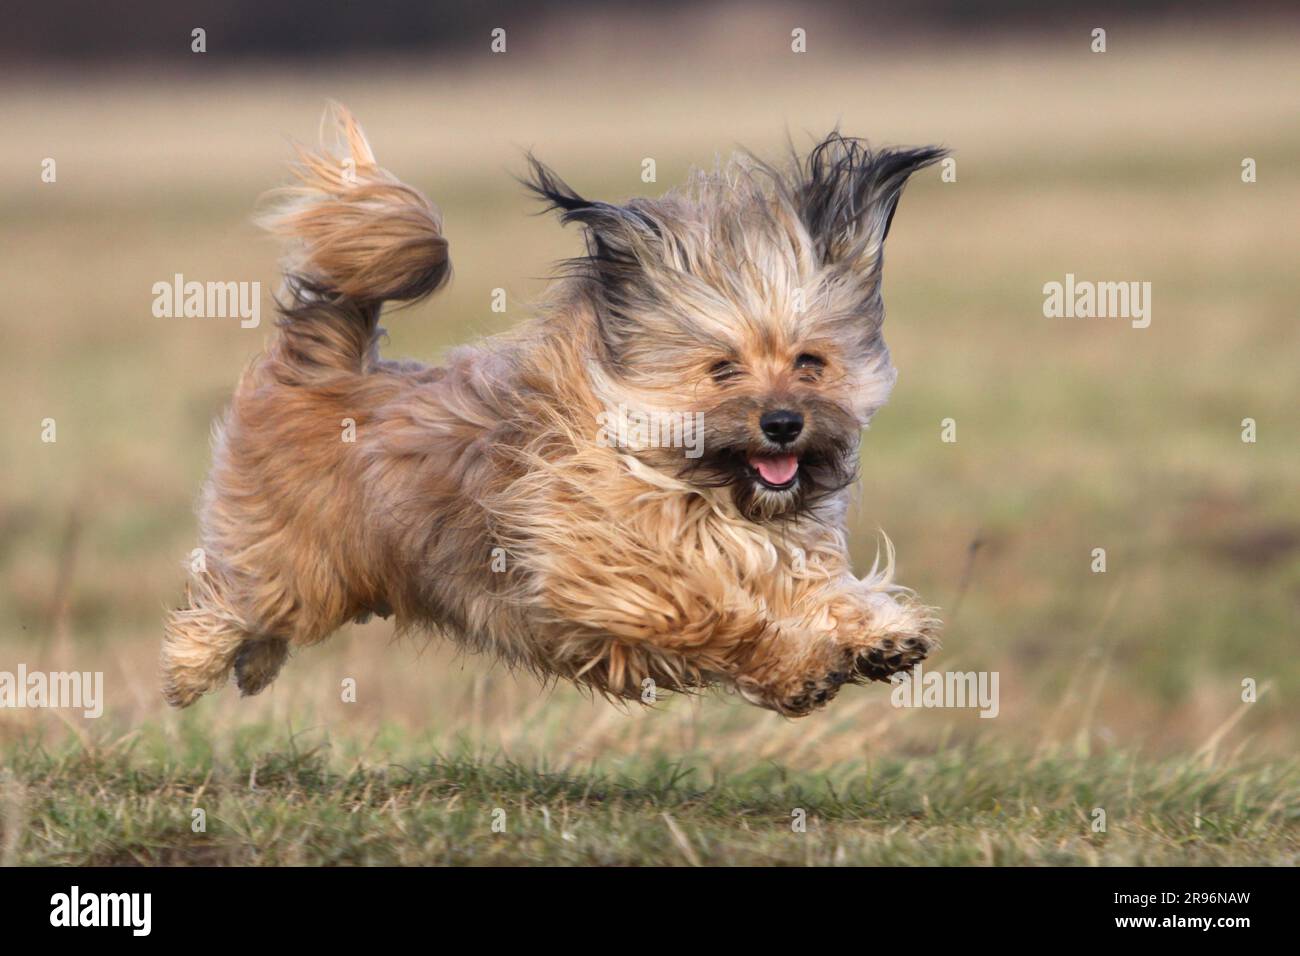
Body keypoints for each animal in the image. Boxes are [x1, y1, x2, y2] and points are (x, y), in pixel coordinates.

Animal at [162, 106, 946, 717]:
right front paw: (801, 668)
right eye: (723, 369)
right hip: (297, 564)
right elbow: (725, 619)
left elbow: (814, 589)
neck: (683, 479)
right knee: (233, 594)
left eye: (810, 362)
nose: (783, 424)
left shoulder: (770, 553)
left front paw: (878, 632)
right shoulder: (617, 581)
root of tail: (327, 368)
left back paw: (252, 664)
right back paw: (192, 664)